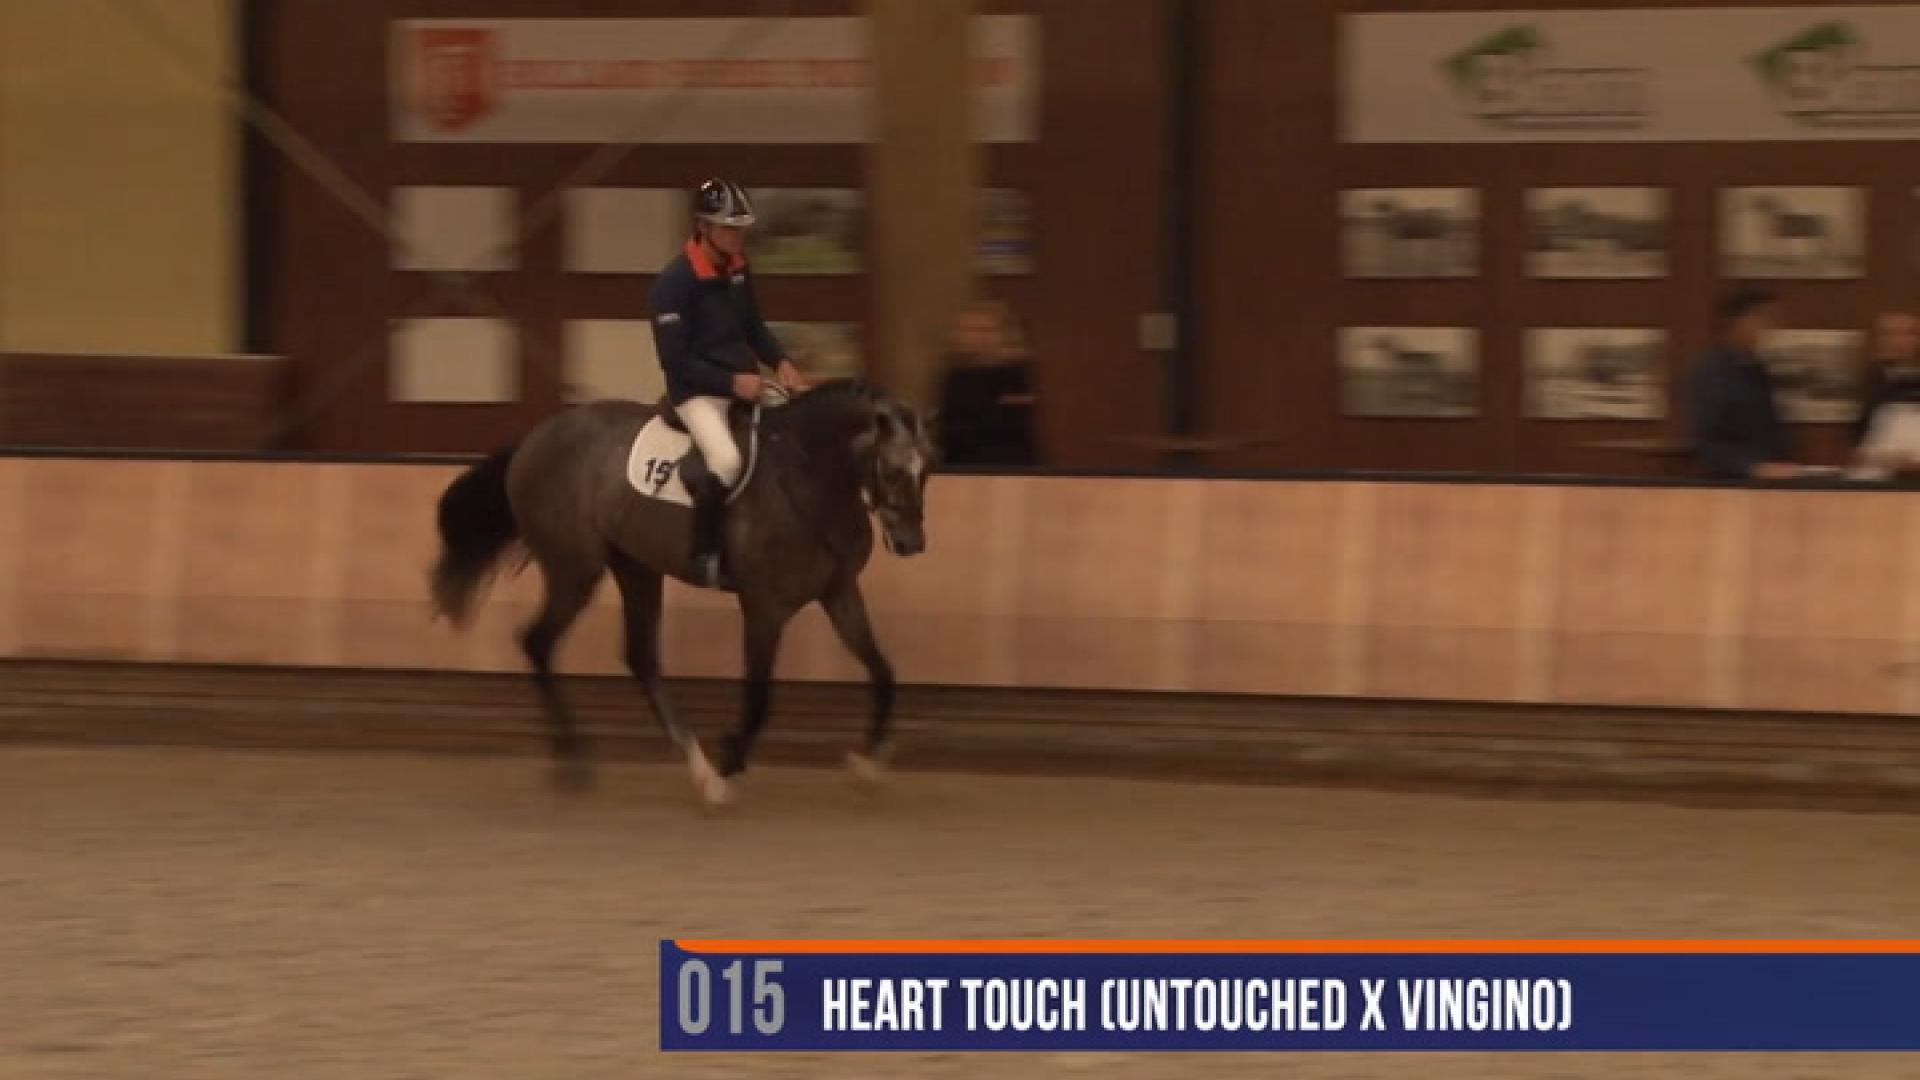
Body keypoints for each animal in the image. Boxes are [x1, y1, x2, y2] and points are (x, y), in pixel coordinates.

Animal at [427, 379, 935, 808]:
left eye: (927, 470)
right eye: (892, 470)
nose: (910, 544)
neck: (808, 477)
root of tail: (535, 438)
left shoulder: (839, 592)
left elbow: (884, 672)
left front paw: (868, 764)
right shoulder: (764, 607)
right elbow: (759, 698)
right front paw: (731, 758)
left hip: (636, 567)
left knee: (641, 657)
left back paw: (696, 770)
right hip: (575, 570)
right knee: (538, 642)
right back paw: (578, 758)